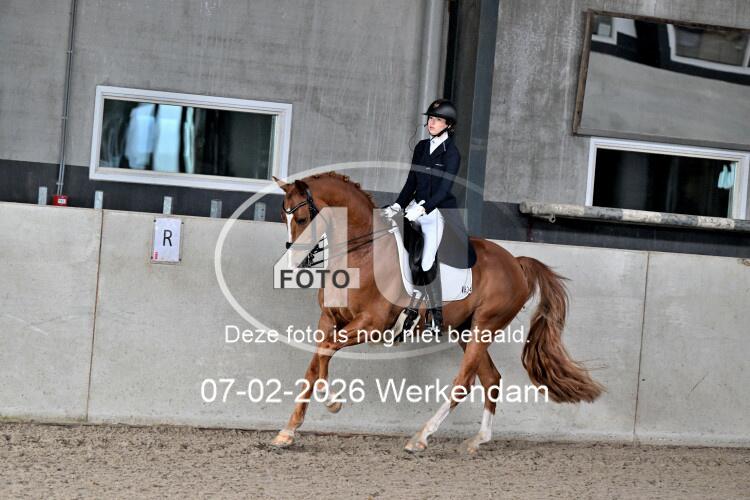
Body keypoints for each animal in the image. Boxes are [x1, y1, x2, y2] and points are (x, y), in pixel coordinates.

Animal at [271, 172, 603, 453]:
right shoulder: (328, 320)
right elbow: (315, 364)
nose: (291, 264)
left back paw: (421, 437)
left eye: (302, 218)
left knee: (464, 382)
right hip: (465, 330)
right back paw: (477, 440)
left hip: (485, 326)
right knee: (491, 378)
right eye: (283, 216)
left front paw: (332, 403)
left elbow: (325, 352)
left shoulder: (371, 324)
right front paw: (288, 431)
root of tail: (516, 262)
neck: (363, 253)